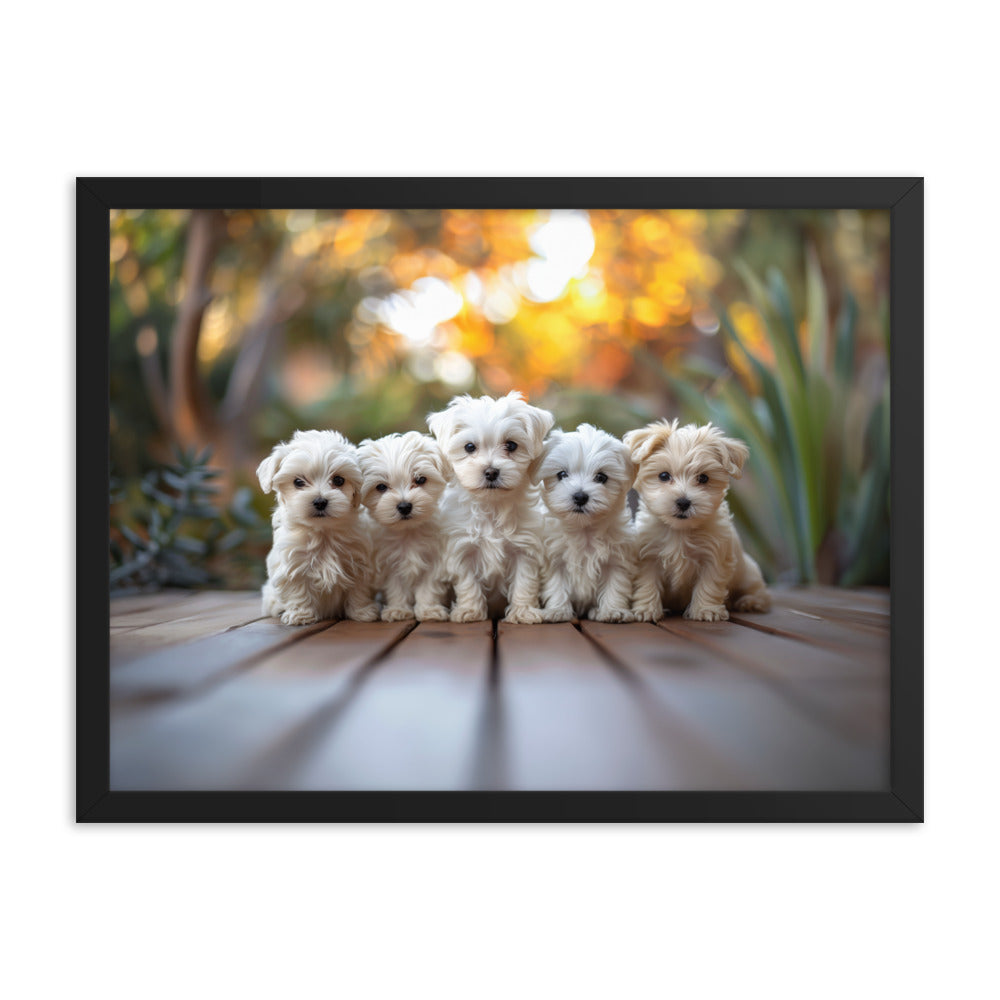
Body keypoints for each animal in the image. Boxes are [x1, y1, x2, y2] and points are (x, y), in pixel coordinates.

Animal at [258, 430, 378, 624]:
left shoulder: (359, 563)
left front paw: (362, 612)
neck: (323, 532)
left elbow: (358, 590)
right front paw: (301, 614)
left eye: (339, 480)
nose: (320, 501)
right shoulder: (293, 565)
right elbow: (298, 590)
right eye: (298, 482)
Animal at [424, 392, 556, 620]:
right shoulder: (463, 548)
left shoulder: (525, 549)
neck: (492, 506)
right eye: (469, 447)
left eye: (511, 445)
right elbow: (468, 583)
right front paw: (469, 611)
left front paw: (523, 612)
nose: (491, 472)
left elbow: (524, 582)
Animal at [536, 424, 636, 624]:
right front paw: (557, 610)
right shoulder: (554, 559)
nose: (580, 496)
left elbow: (616, 584)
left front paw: (613, 610)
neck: (584, 529)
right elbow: (556, 585)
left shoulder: (617, 559)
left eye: (601, 477)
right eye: (562, 474)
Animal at [624, 418, 772, 620]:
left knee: (759, 592)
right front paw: (645, 609)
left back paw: (750, 602)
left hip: (748, 573)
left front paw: (705, 610)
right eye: (664, 476)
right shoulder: (648, 556)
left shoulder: (714, 556)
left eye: (703, 478)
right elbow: (647, 583)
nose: (683, 502)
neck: (680, 531)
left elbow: (709, 584)